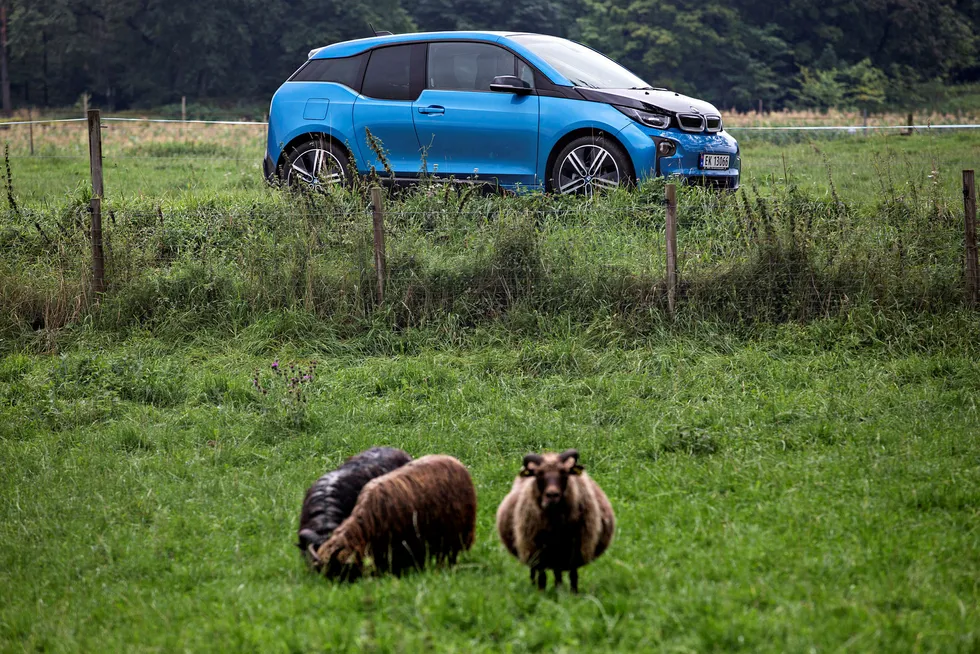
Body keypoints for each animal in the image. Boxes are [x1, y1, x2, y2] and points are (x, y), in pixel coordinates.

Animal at [498, 452, 612, 596]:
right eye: (539, 474)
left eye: (564, 473)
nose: (552, 495)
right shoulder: (538, 547)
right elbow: (542, 576)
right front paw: (541, 594)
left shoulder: (574, 547)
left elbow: (572, 575)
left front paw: (572, 595)